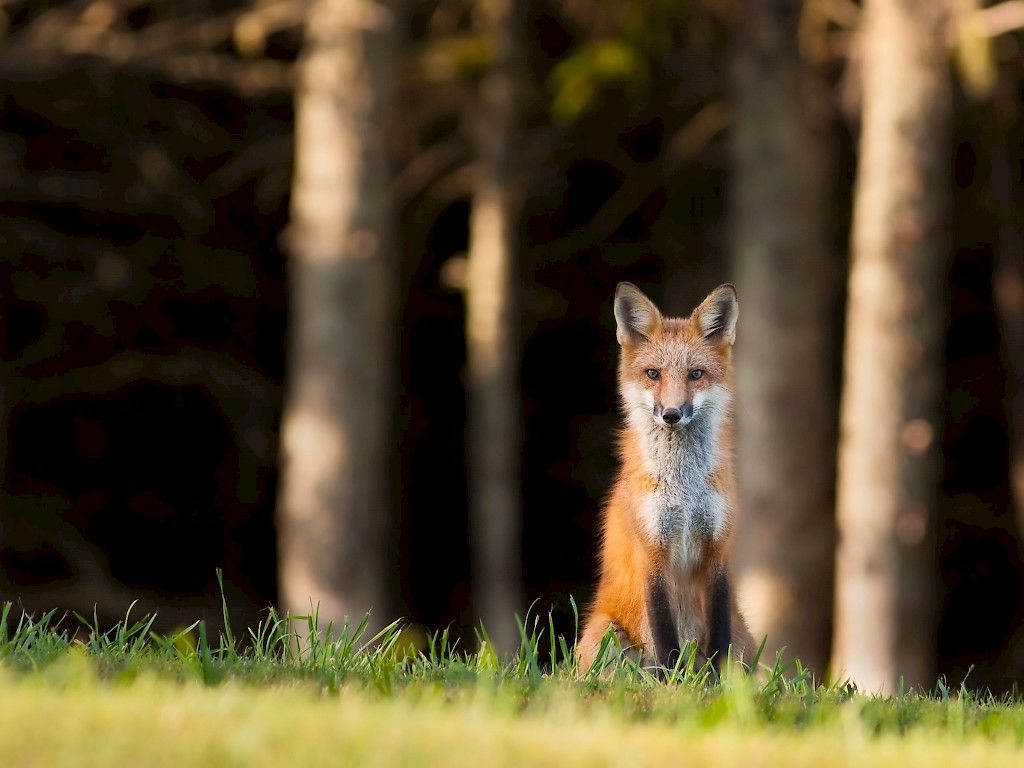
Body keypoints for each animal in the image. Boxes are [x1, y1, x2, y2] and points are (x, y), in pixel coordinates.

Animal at [581, 280, 757, 671]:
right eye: (653, 374)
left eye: (695, 374)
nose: (672, 414)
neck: (685, 490)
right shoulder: (652, 551)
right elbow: (665, 639)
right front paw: (673, 681)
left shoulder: (717, 549)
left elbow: (717, 641)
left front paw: (712, 682)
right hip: (606, 634)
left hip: (745, 642)